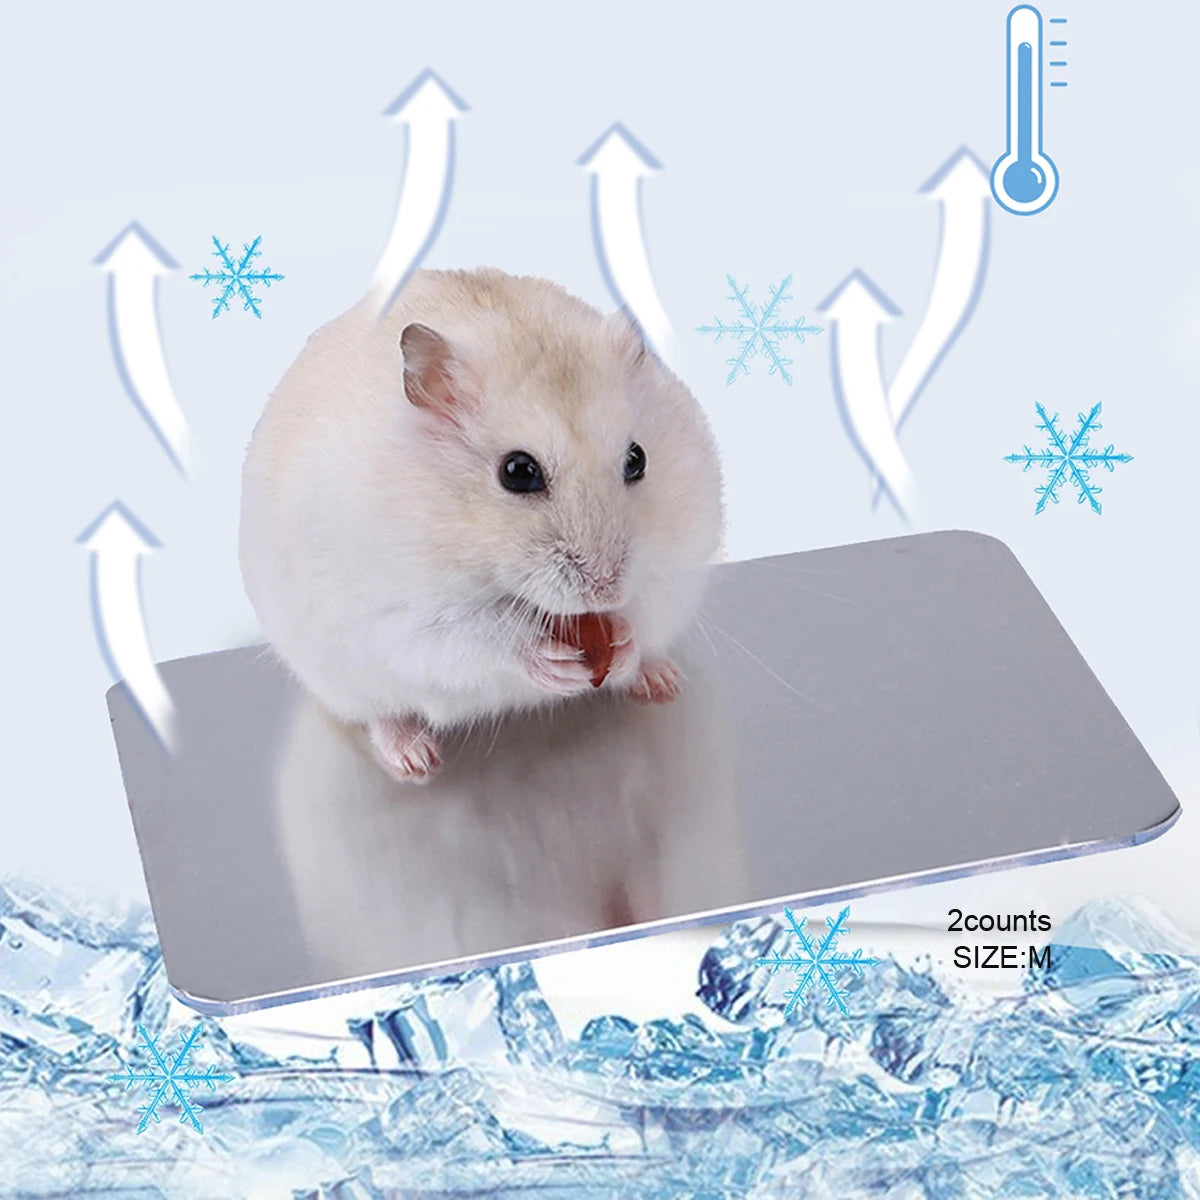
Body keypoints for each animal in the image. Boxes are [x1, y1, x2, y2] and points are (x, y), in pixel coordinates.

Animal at [239, 267, 724, 783]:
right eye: (518, 471)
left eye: (637, 460)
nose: (606, 589)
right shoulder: (401, 613)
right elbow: (477, 636)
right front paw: (555, 663)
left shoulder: (678, 564)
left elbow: (647, 606)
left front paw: (626, 642)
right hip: (342, 678)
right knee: (382, 713)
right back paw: (414, 758)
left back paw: (661, 680)